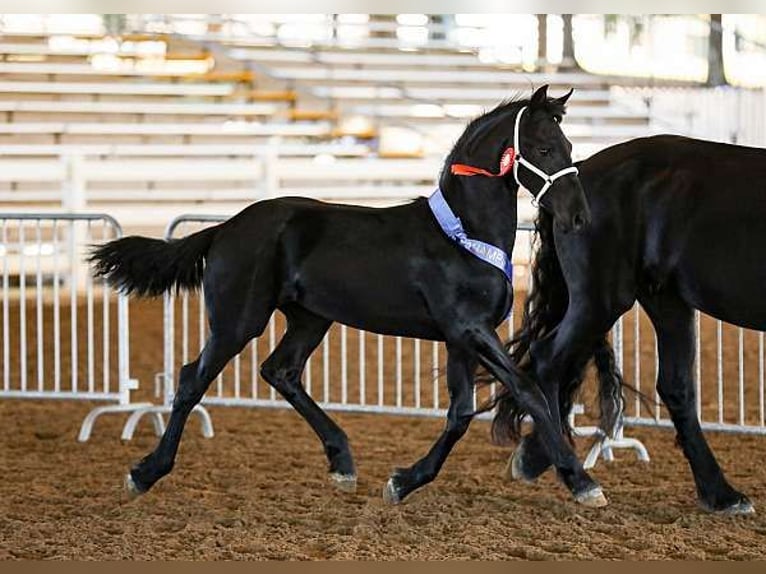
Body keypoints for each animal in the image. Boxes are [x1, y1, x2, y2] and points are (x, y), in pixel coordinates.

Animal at [90, 85, 602, 507]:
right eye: (542, 148)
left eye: (568, 148)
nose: (578, 217)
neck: (462, 234)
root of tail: (225, 228)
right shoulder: (469, 330)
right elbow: (528, 390)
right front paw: (581, 481)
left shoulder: (461, 338)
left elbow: (460, 413)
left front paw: (403, 481)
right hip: (238, 320)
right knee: (191, 379)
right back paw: (145, 473)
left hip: (310, 318)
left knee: (280, 371)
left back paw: (342, 462)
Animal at [488, 133, 760, 515]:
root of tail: (578, 173)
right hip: (602, 298)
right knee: (548, 360)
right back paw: (577, 480)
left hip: (664, 300)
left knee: (675, 386)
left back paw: (720, 494)